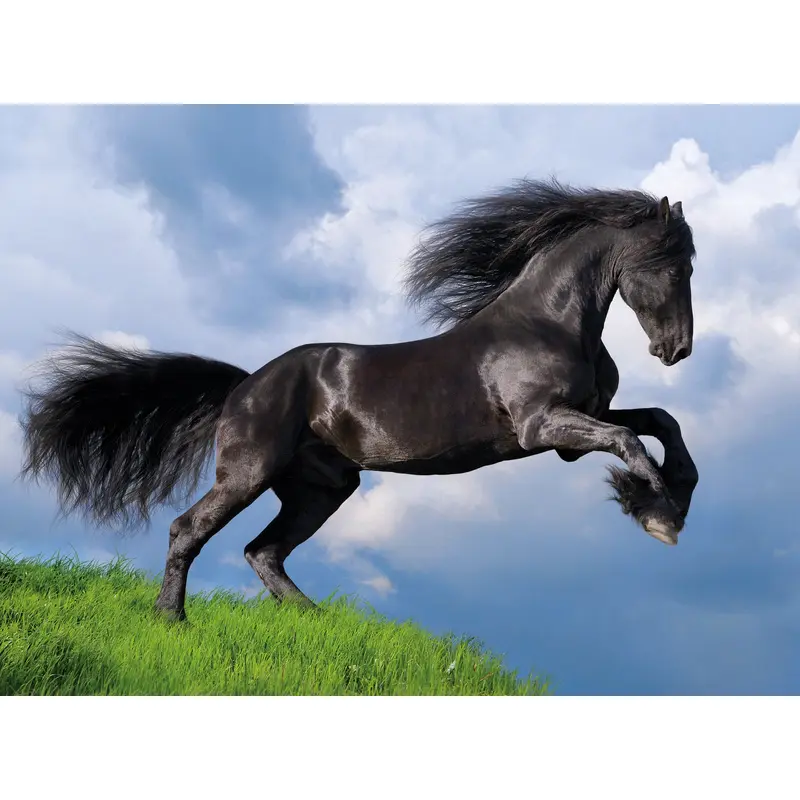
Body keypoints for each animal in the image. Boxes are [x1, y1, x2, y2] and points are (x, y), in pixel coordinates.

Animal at [19, 179, 699, 621]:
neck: (548, 324)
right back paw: (170, 619)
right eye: (674, 267)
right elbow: (631, 439)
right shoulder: (542, 427)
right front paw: (657, 515)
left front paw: (672, 500)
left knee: (263, 551)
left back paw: (316, 621)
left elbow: (660, 423)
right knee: (190, 530)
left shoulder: (575, 429)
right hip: (249, 472)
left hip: (321, 488)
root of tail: (244, 385)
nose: (676, 350)